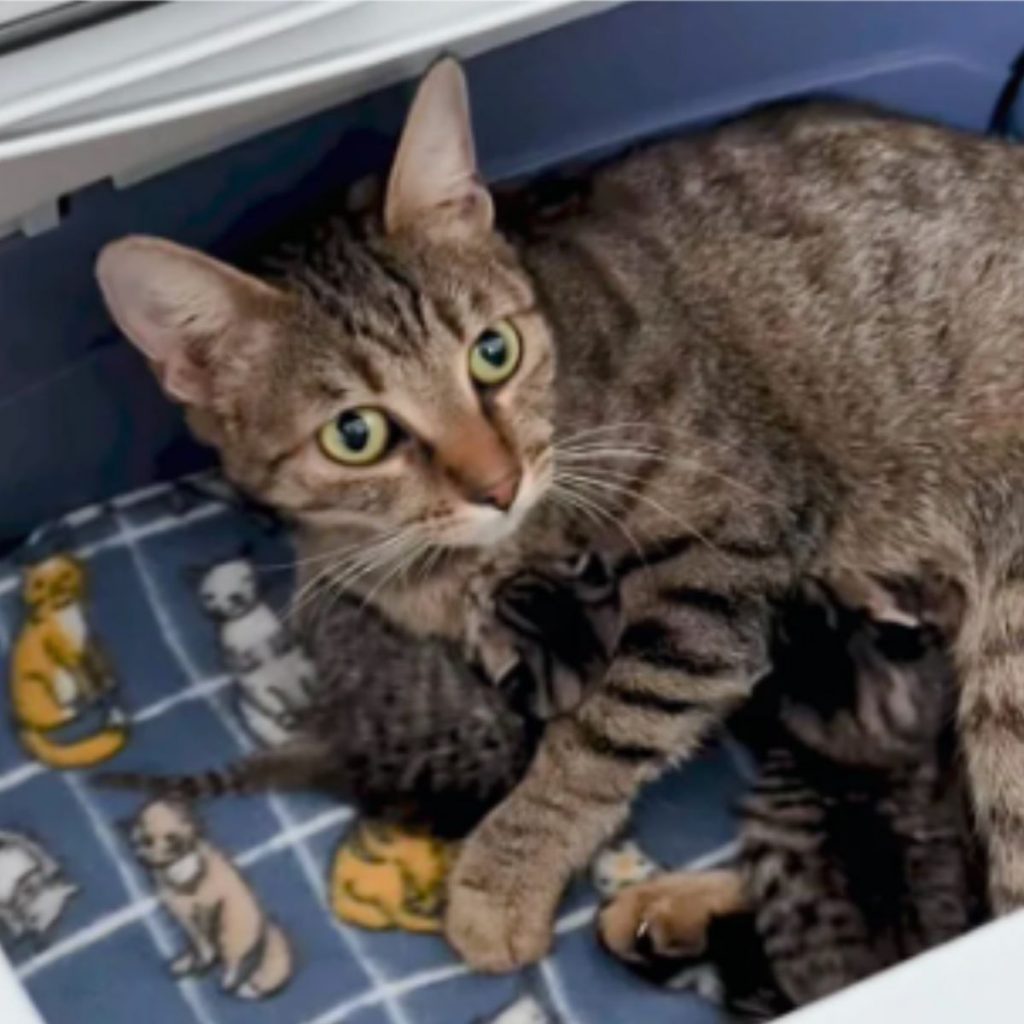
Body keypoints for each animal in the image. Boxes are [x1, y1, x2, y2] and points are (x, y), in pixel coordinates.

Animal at [10, 552, 129, 770]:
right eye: (40, 584)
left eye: (65, 576)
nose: (56, 589)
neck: (66, 617)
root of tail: (19, 720)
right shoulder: (63, 649)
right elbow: (84, 676)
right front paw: (96, 697)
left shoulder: (86, 642)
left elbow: (96, 665)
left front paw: (107, 684)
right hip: (34, 683)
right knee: (45, 717)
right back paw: (71, 712)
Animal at [125, 798, 292, 999]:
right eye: (145, 839)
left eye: (172, 839)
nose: (142, 858)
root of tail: (265, 926)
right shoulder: (186, 918)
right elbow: (201, 947)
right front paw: (191, 964)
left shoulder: (205, 912)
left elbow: (207, 950)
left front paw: (202, 967)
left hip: (229, 933)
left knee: (233, 960)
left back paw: (227, 982)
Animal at [192, 552, 317, 745]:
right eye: (209, 596)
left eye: (235, 596)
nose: (219, 612)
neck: (246, 624)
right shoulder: (238, 662)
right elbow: (239, 667)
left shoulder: (284, 638)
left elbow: (288, 646)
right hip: (256, 708)